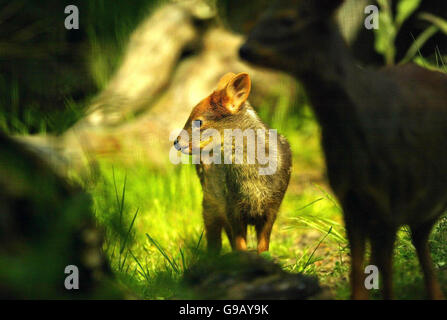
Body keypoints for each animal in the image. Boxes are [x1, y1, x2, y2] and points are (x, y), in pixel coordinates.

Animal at [173, 72, 292, 255]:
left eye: (198, 121)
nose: (176, 142)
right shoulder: (231, 207)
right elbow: (239, 245)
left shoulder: (272, 208)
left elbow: (263, 246)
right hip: (209, 203)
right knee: (213, 238)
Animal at [242, 0, 447, 300]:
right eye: (262, 17)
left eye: (289, 19)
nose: (244, 49)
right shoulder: (350, 200)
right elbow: (358, 270)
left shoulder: (390, 198)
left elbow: (384, 271)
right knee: (419, 241)